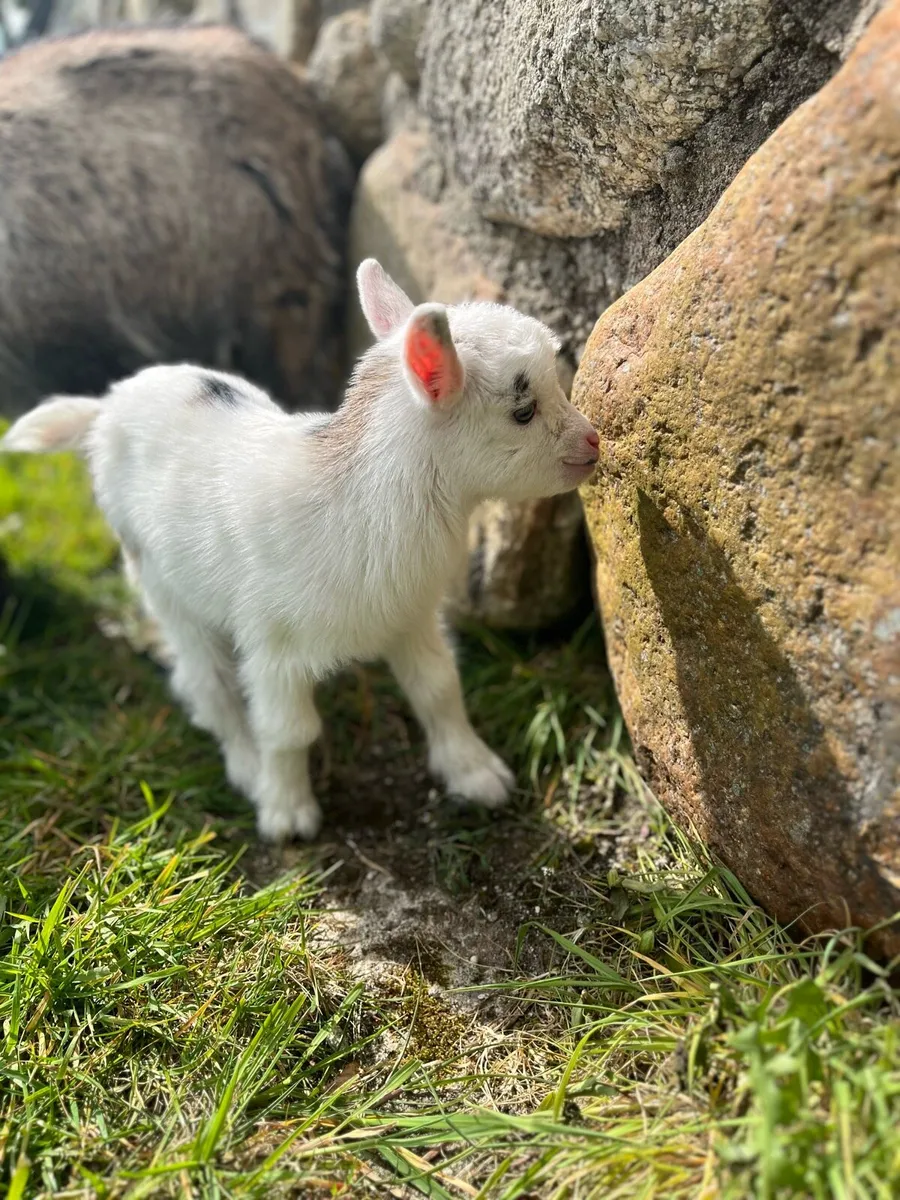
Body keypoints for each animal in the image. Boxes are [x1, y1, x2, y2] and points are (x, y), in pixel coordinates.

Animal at [2, 261, 601, 840]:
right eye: (522, 411)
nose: (594, 441)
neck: (364, 503)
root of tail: (106, 405)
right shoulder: (275, 647)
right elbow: (288, 730)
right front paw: (288, 814)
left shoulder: (410, 615)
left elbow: (437, 687)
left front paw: (476, 774)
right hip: (160, 582)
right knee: (207, 683)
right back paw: (247, 768)